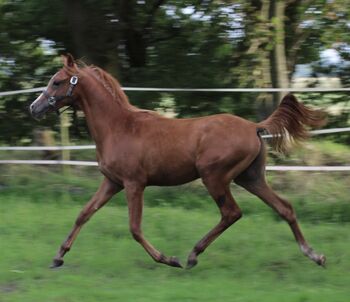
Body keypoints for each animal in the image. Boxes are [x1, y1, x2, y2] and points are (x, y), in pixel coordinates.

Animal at [30, 54, 328, 268]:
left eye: (57, 81)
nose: (34, 107)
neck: (119, 127)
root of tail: (254, 126)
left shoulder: (134, 184)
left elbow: (134, 228)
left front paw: (167, 259)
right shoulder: (112, 182)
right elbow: (84, 214)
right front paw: (58, 257)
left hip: (214, 177)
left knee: (231, 212)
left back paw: (193, 255)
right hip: (250, 178)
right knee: (284, 207)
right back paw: (315, 255)